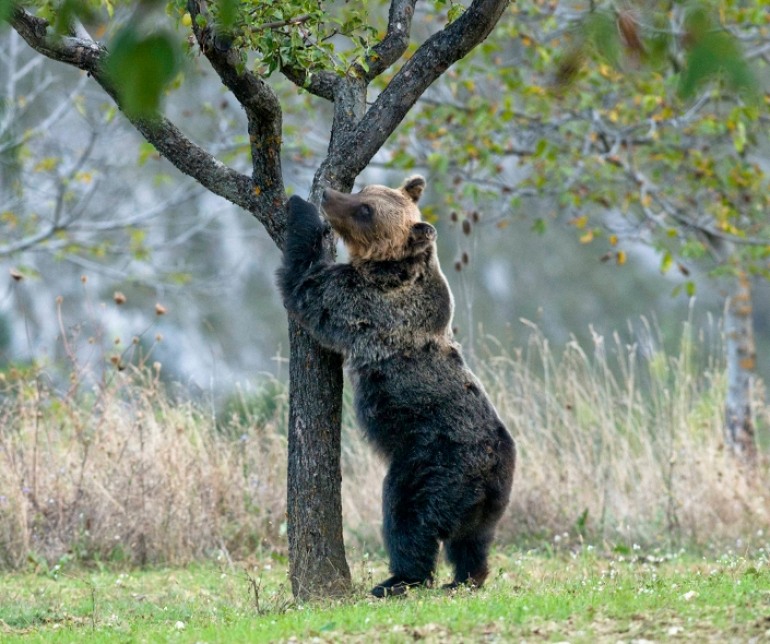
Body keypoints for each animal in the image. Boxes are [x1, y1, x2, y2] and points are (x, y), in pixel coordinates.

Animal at [280, 176, 512, 600]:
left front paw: (299, 207)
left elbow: (309, 287)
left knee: (408, 521)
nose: (330, 195)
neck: (390, 268)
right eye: (364, 190)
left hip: (431, 464)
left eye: (365, 209)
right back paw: (465, 578)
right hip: (488, 501)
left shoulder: (367, 303)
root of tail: (492, 470)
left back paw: (396, 580)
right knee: (472, 542)